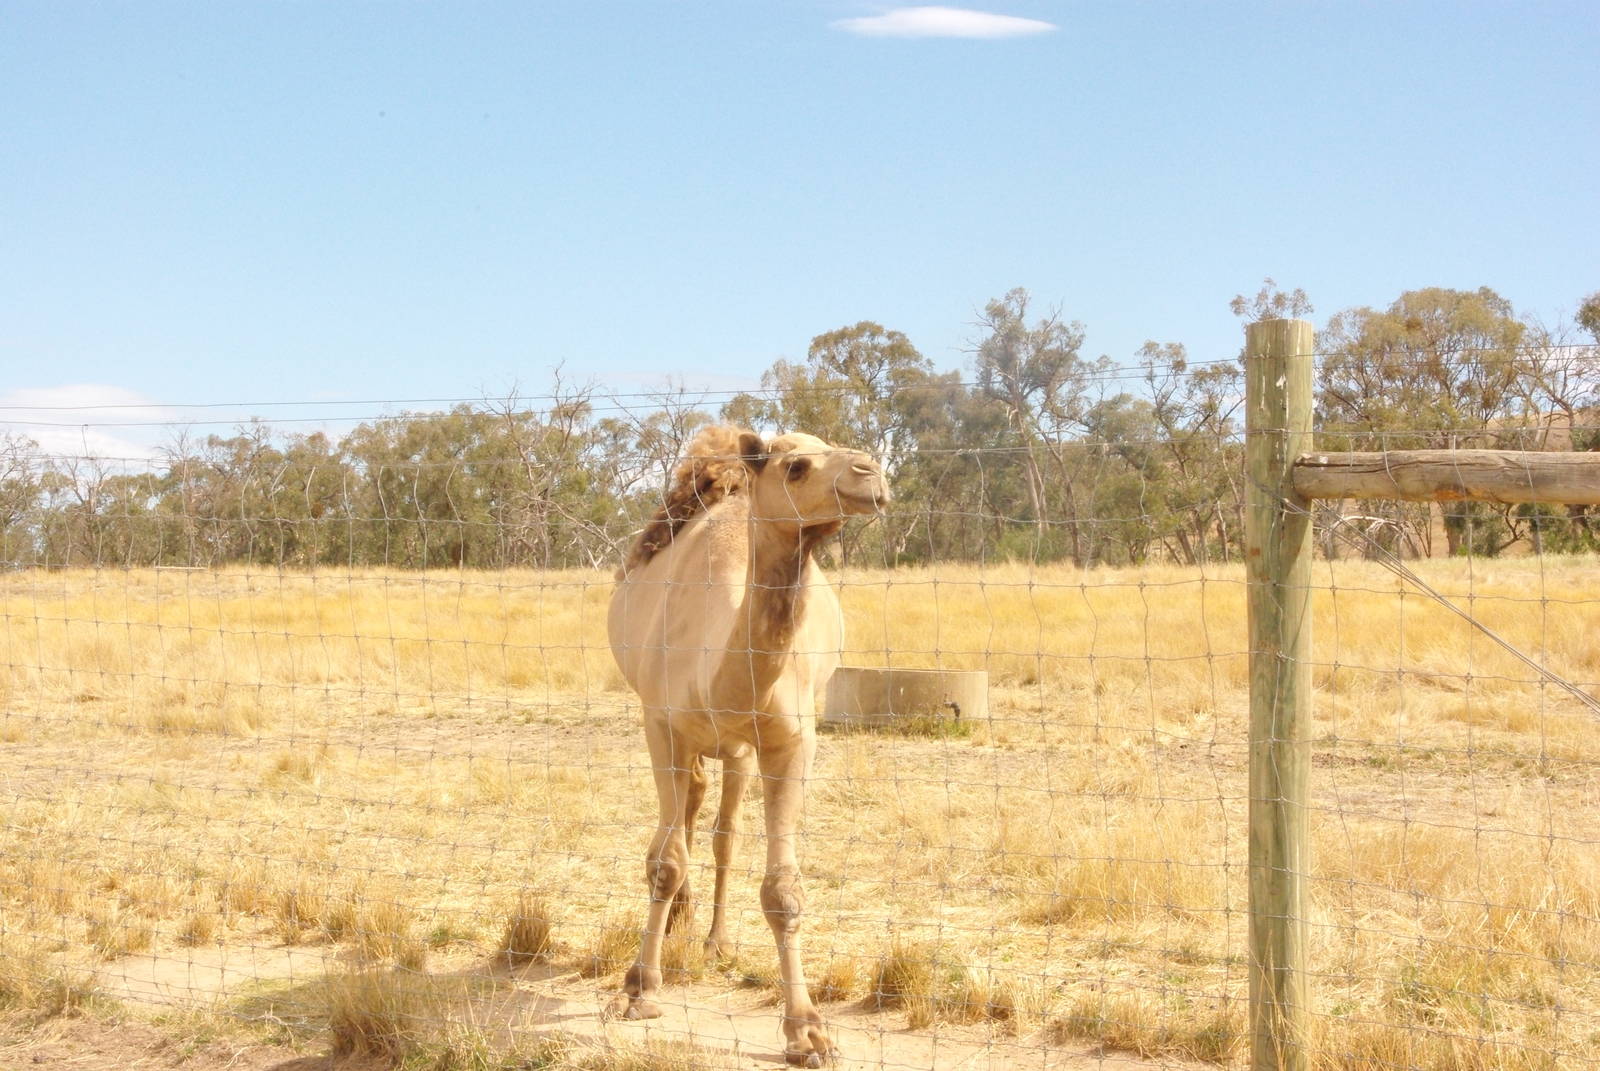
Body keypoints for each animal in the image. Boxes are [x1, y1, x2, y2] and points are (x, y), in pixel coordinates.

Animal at [606, 425, 889, 1067]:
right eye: (796, 466)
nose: (872, 475)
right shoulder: (660, 725)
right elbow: (662, 861)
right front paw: (640, 989)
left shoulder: (789, 741)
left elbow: (781, 886)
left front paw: (808, 1032)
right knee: (686, 817)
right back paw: (680, 926)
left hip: (737, 750)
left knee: (722, 832)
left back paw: (714, 939)